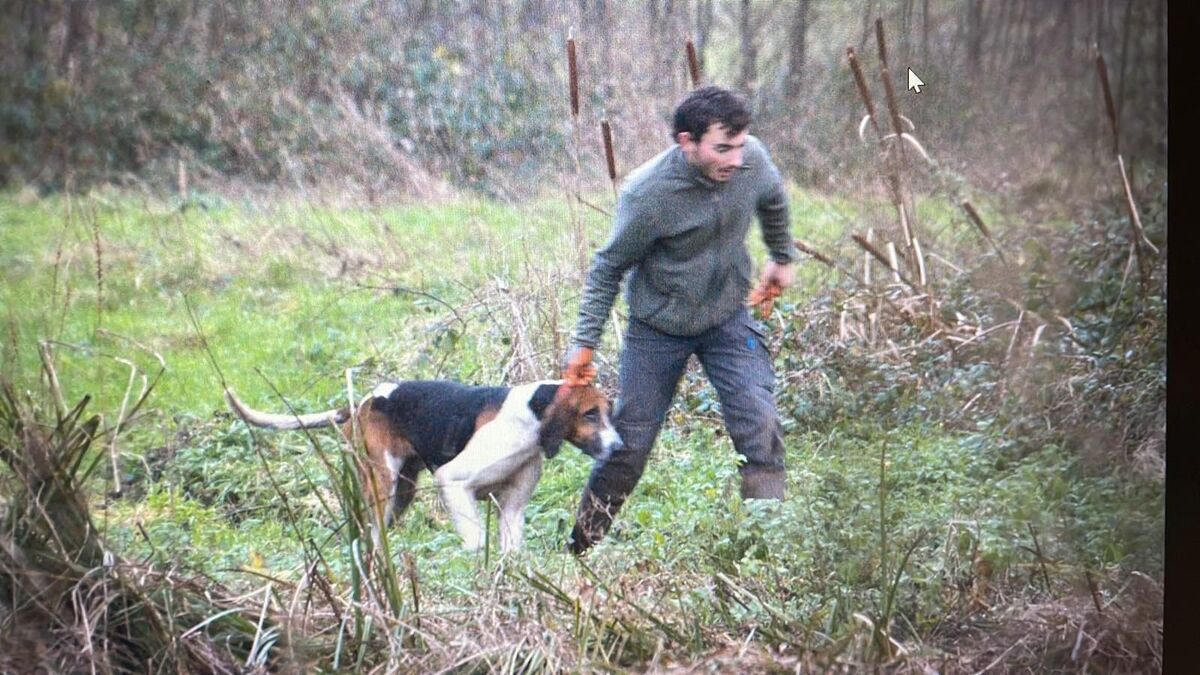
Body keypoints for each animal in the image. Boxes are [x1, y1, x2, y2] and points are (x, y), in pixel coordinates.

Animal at [223, 381, 628, 550]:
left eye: (609, 412)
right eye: (590, 415)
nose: (620, 447)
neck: (531, 415)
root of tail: (363, 401)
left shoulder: (512, 509)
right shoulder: (454, 483)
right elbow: (475, 542)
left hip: (403, 492)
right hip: (381, 485)